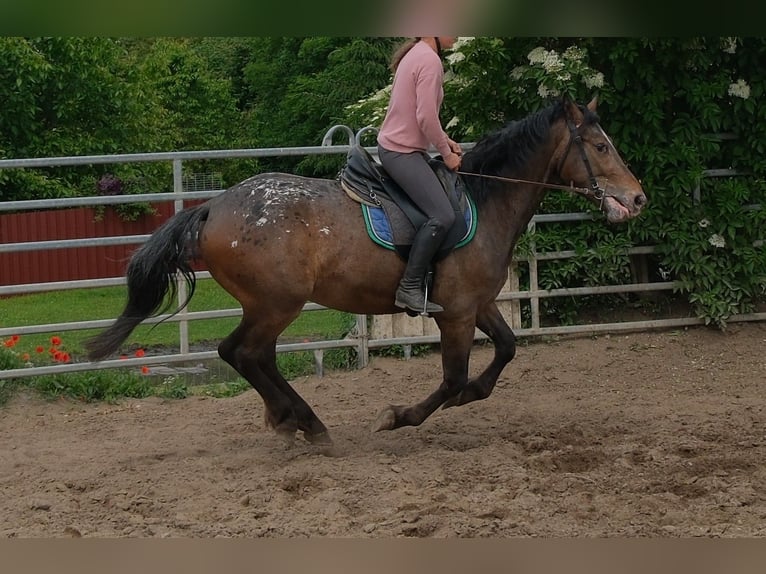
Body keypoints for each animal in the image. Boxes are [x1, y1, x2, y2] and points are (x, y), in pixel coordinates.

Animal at [86, 96, 647, 445]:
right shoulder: (456, 315)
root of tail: (213, 207)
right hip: (277, 304)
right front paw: (398, 417)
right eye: (601, 146)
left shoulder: (478, 304)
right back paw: (305, 423)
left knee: (255, 357)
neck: (484, 199)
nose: (637, 197)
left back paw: (293, 419)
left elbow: (505, 350)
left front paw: (469, 397)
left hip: (269, 307)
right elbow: (452, 379)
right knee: (240, 353)